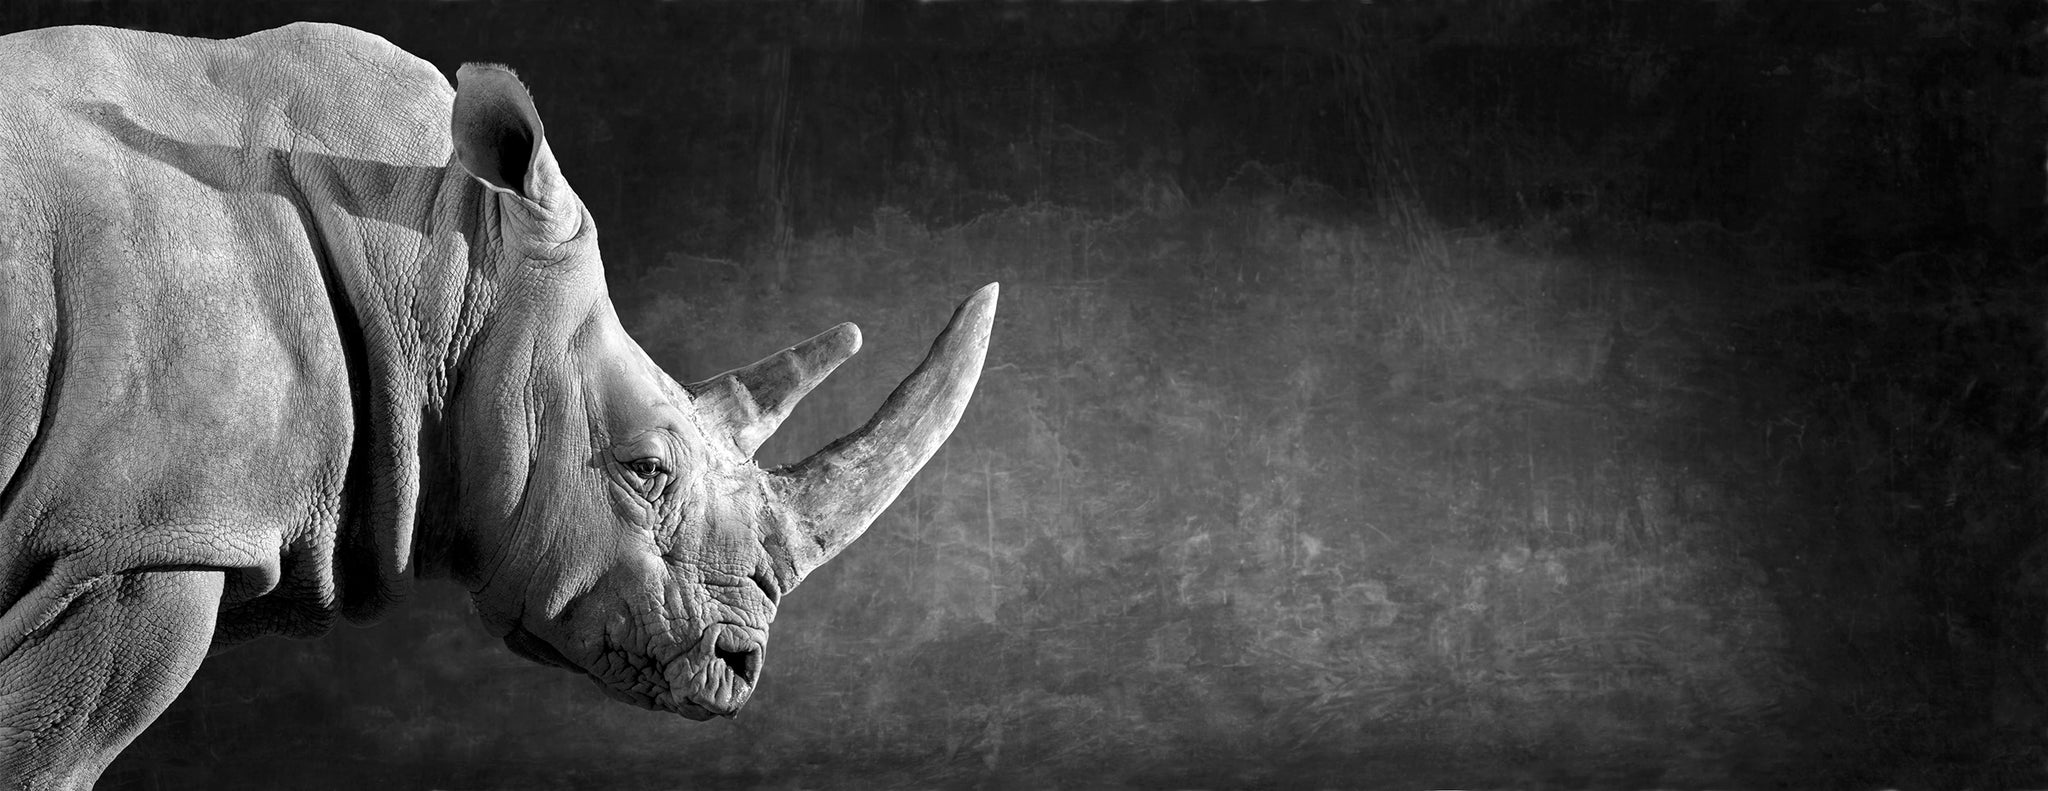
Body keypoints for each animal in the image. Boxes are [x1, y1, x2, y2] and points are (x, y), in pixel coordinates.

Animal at [0, 22, 995, 788]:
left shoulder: (143, 531)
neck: (431, 237)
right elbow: (47, 752)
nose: (741, 665)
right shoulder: (133, 542)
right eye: (646, 468)